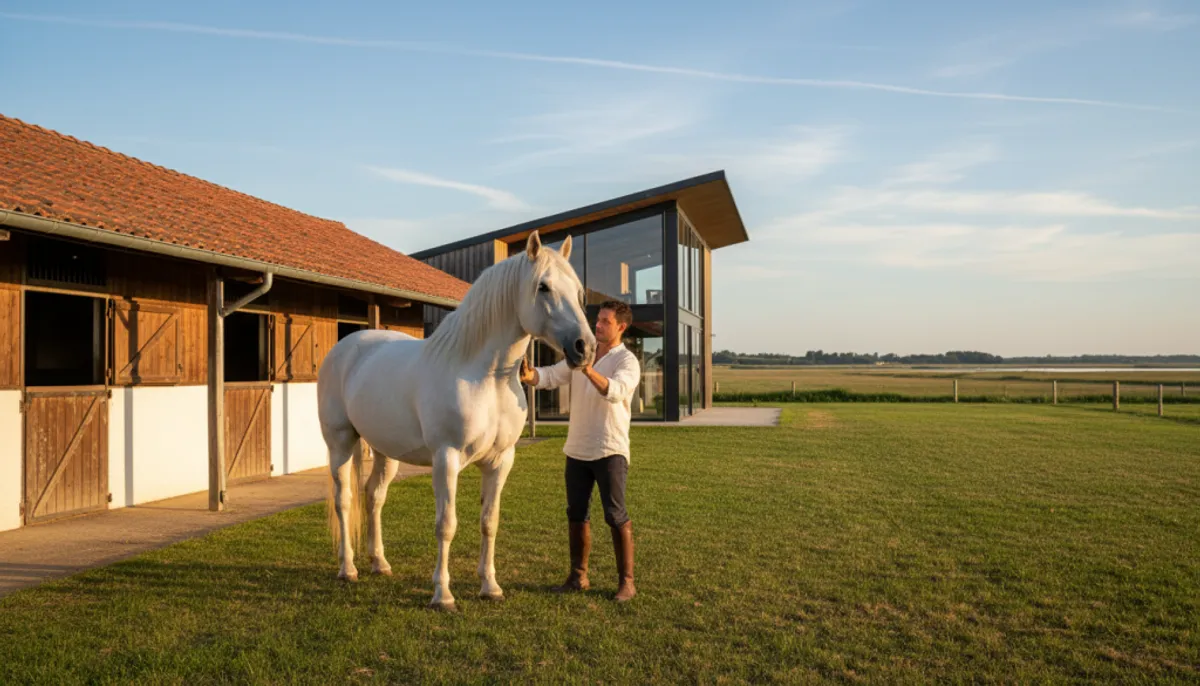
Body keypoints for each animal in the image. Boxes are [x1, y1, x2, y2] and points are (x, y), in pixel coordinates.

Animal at [316, 230, 595, 611]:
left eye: (579, 290)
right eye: (543, 287)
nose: (585, 348)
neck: (485, 376)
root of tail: (345, 346)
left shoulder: (500, 461)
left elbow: (489, 522)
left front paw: (490, 586)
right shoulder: (446, 458)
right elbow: (446, 525)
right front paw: (442, 595)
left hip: (385, 451)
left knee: (374, 496)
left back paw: (379, 562)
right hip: (341, 443)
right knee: (344, 499)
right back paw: (348, 569)